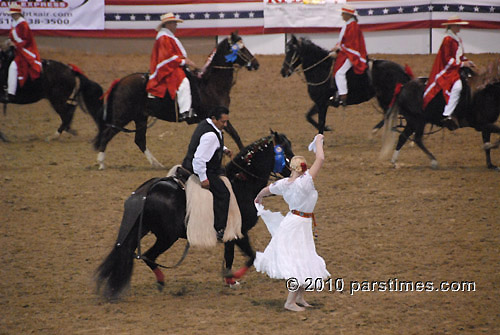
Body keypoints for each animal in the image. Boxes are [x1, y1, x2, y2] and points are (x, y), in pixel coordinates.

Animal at [92, 31, 260, 171]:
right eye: (240, 49)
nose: (256, 64)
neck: (210, 84)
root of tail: (121, 81)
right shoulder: (217, 116)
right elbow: (235, 134)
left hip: (140, 118)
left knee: (139, 140)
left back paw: (156, 164)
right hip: (123, 117)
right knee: (107, 134)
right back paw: (101, 163)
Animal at [94, 132, 292, 302]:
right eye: (285, 149)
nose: (293, 172)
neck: (241, 185)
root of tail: (147, 191)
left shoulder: (231, 235)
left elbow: (229, 257)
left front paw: (230, 280)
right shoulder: (239, 232)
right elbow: (251, 256)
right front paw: (232, 277)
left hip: (144, 230)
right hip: (167, 237)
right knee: (149, 256)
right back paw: (161, 281)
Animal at [280, 34, 412, 134]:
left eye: (291, 51)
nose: (283, 71)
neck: (322, 69)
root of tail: (402, 70)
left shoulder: (322, 103)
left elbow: (320, 123)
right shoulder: (320, 102)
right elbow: (308, 116)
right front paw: (328, 128)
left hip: (387, 98)